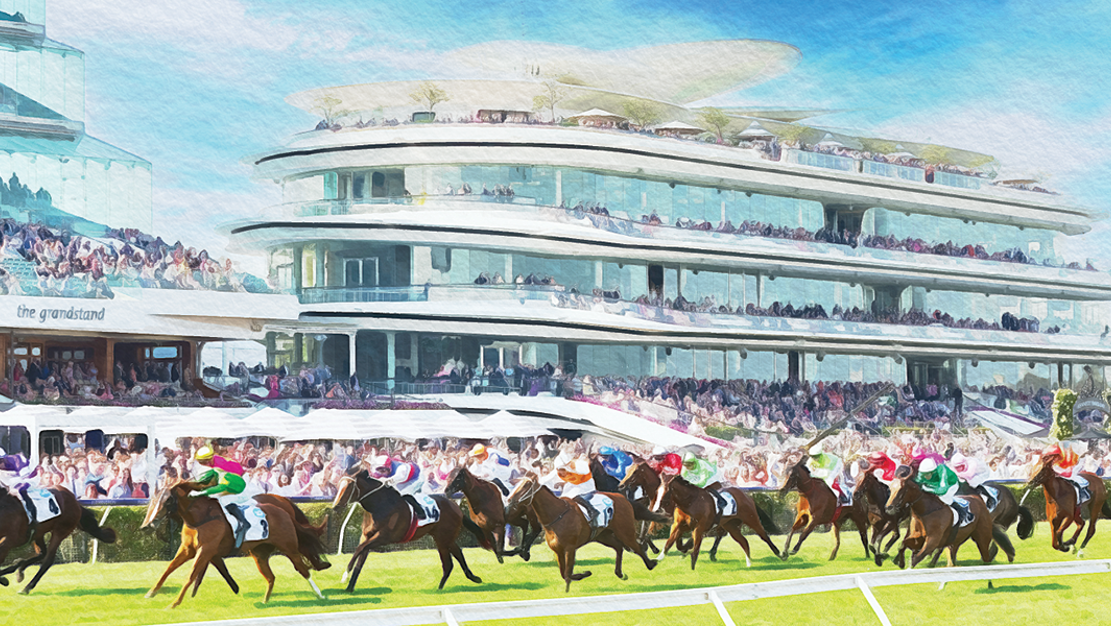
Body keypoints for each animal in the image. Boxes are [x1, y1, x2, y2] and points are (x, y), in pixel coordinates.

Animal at [140, 480, 327, 607]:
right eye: (152, 500)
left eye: (168, 500)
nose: (147, 526)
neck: (201, 518)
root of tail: (284, 511)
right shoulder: (188, 549)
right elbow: (168, 569)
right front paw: (151, 592)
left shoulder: (206, 549)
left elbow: (191, 575)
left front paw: (174, 603)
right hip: (259, 554)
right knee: (271, 577)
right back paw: (265, 600)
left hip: (289, 548)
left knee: (303, 569)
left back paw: (320, 595)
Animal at [333, 469, 484, 592]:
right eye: (339, 485)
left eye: (349, 487)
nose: (335, 507)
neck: (380, 506)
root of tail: (456, 508)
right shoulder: (366, 536)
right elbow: (360, 558)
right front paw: (349, 588)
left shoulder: (383, 536)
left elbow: (359, 549)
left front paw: (345, 575)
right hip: (442, 537)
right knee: (455, 554)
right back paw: (464, 580)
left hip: (443, 538)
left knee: (449, 562)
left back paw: (444, 587)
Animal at [504, 475, 663, 592]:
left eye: (526, 486)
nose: (509, 500)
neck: (556, 515)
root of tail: (623, 499)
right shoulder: (558, 550)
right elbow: (563, 573)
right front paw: (582, 575)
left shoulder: (570, 548)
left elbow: (567, 573)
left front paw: (581, 577)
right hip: (602, 535)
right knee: (619, 547)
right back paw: (620, 573)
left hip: (625, 530)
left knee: (636, 546)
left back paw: (651, 563)